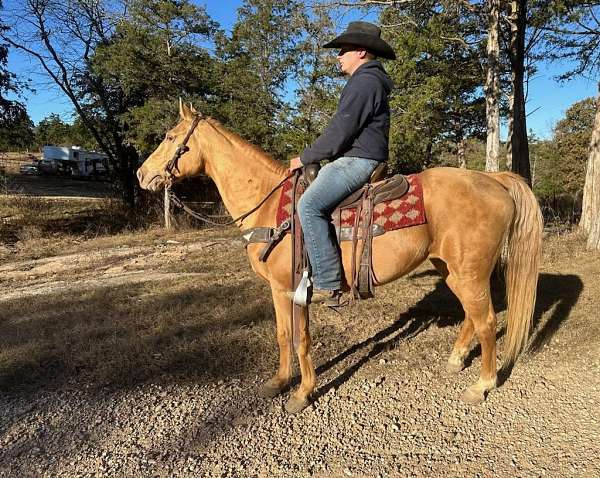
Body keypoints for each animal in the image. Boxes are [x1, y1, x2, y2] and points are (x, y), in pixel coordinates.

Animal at [137, 102, 544, 414]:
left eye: (171, 137)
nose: (142, 174)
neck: (269, 206)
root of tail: (493, 180)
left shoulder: (293, 290)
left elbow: (300, 338)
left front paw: (302, 392)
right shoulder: (278, 291)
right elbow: (283, 335)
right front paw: (279, 382)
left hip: (470, 272)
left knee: (487, 321)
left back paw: (482, 385)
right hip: (452, 270)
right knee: (471, 316)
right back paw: (457, 360)